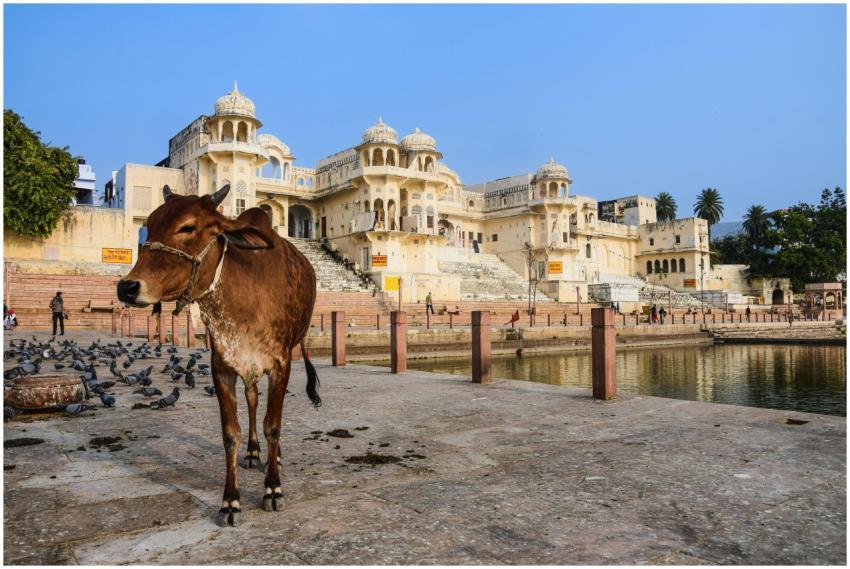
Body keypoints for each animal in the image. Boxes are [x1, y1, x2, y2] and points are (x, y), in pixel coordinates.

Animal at [117, 184, 321, 527]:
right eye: (151, 223)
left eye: (188, 227)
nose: (127, 287)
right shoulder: (222, 367)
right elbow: (230, 433)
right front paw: (230, 502)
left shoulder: (280, 364)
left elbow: (273, 425)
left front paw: (272, 488)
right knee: (252, 400)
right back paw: (253, 452)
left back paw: (272, 456)